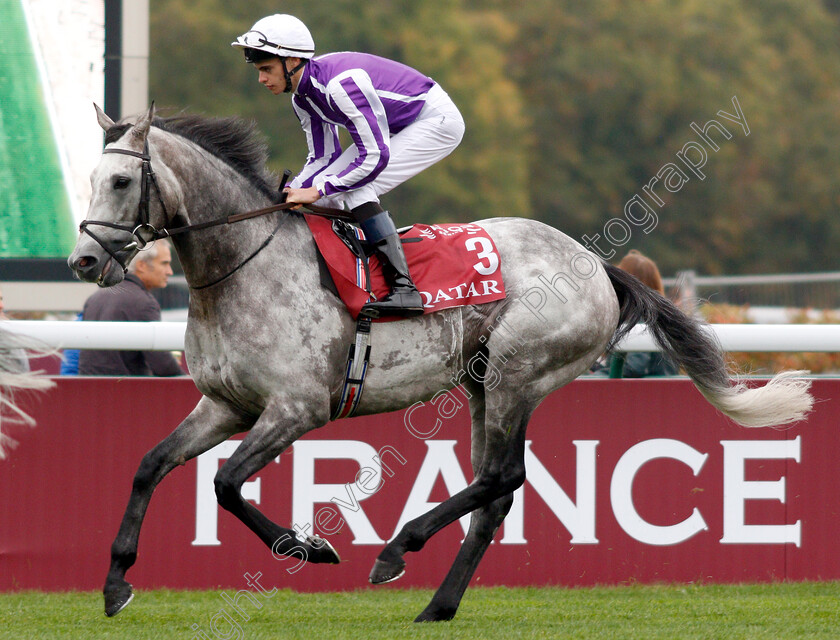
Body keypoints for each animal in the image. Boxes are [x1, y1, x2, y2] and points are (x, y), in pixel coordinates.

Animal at [67, 107, 812, 624]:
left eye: (123, 179)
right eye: (90, 178)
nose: (83, 261)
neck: (242, 270)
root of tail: (596, 264)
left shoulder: (296, 409)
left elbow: (224, 484)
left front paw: (313, 549)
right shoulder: (226, 405)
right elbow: (150, 465)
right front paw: (116, 583)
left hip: (517, 371)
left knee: (502, 477)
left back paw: (399, 548)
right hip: (485, 384)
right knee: (495, 490)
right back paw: (437, 604)